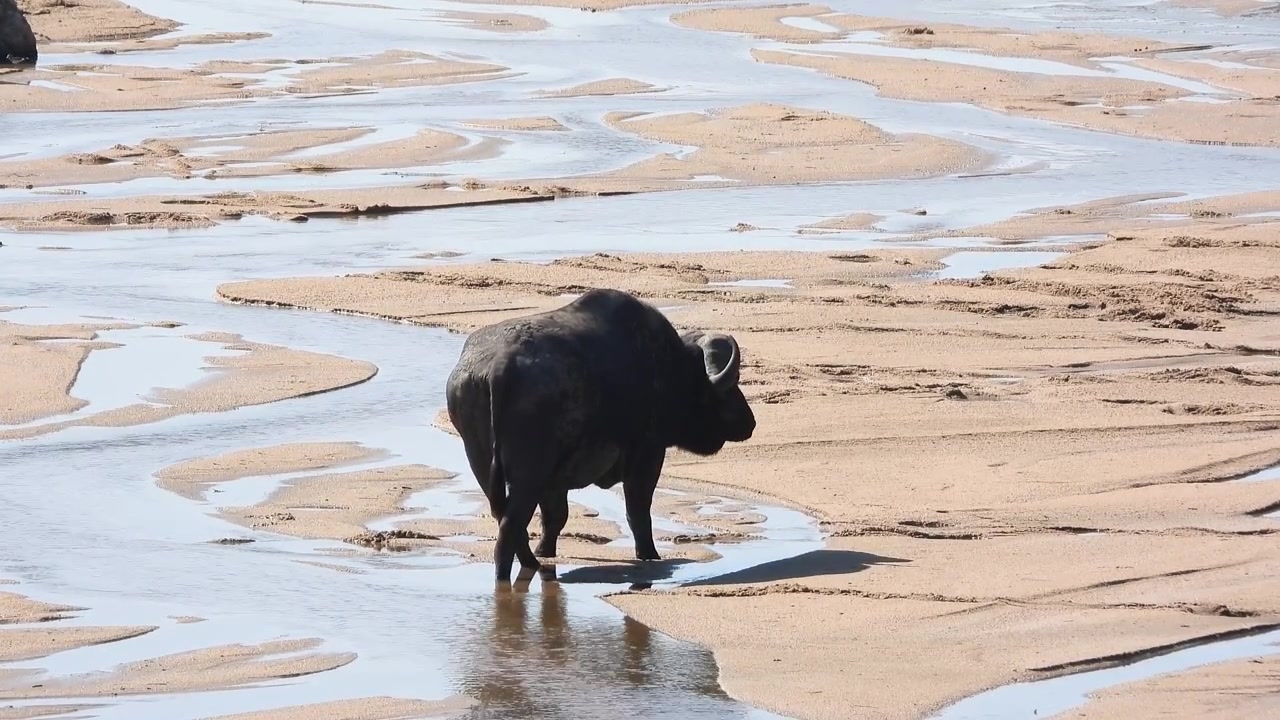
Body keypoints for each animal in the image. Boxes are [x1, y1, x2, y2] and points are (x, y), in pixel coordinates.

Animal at [445, 288, 756, 582]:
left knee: (507, 519)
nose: (750, 422)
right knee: (510, 526)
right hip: (529, 473)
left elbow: (555, 518)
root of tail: (500, 368)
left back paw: (534, 563)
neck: (669, 369)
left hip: (484, 464)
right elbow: (638, 512)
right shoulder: (649, 454)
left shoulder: (555, 481)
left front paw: (546, 551)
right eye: (730, 389)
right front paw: (649, 555)